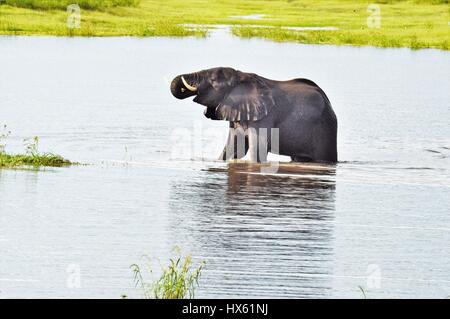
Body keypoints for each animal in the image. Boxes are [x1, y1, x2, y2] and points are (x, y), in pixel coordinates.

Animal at [170, 66, 338, 164]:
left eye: (213, 81)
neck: (240, 77)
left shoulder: (264, 119)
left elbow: (256, 152)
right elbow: (234, 149)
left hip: (324, 131)